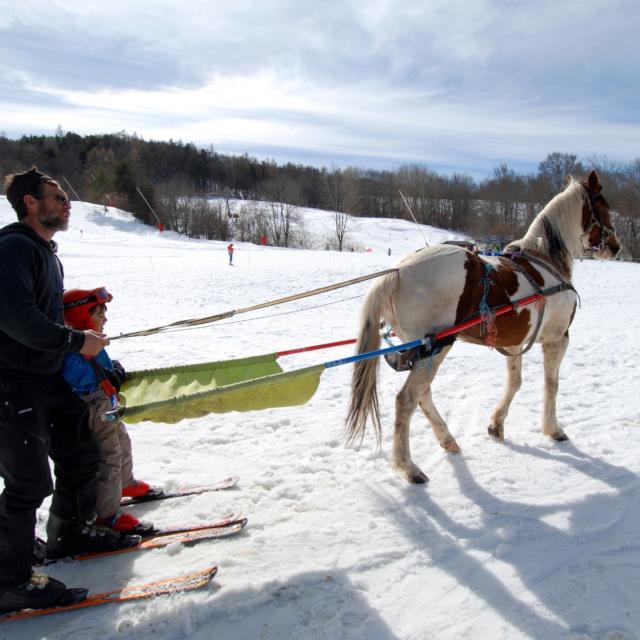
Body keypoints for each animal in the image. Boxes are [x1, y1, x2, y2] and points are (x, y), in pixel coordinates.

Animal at [344, 169, 620, 480]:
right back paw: (408, 466)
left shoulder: (515, 342)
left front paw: (497, 425)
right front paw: (553, 428)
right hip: (436, 347)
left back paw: (447, 439)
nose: (616, 247)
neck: (546, 260)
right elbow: (552, 384)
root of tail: (398, 272)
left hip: (423, 350)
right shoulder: (557, 338)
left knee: (423, 396)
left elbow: (514, 382)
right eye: (605, 208)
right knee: (406, 400)